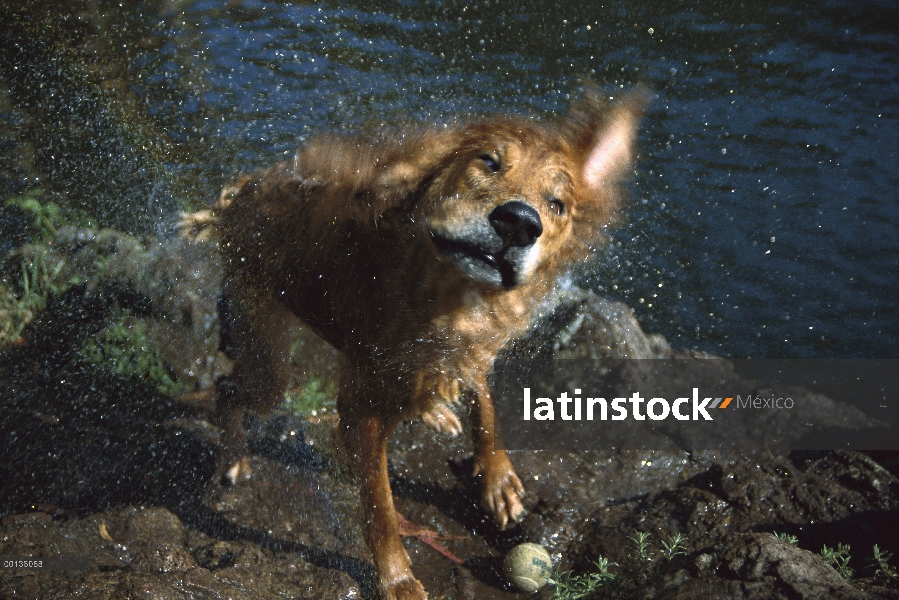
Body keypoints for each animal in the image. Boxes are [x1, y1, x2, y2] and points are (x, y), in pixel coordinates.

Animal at [185, 86, 648, 596]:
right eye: (489, 162)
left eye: (557, 204)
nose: (520, 222)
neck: (446, 295)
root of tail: (243, 190)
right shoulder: (362, 411)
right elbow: (381, 506)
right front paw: (397, 577)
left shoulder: (469, 349)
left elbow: (485, 402)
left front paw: (496, 475)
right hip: (268, 358)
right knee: (228, 388)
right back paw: (233, 457)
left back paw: (434, 409)